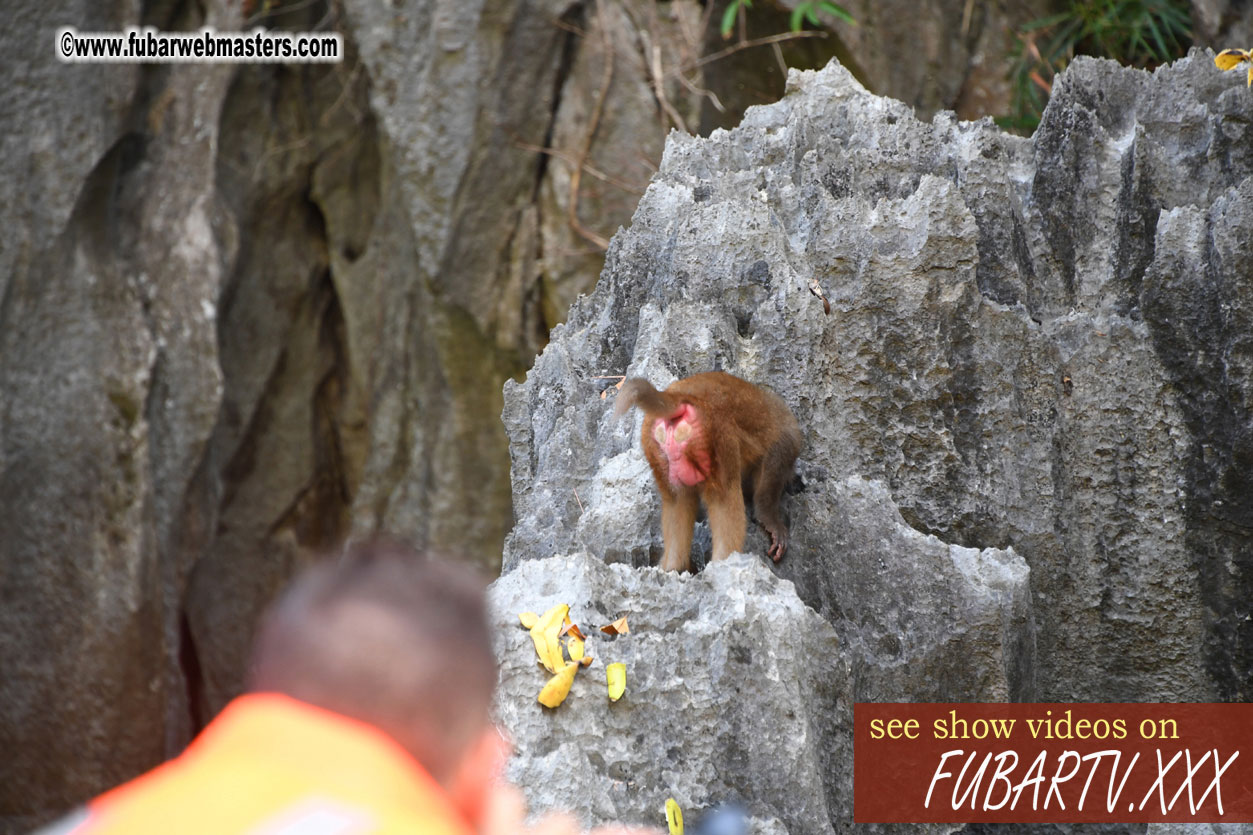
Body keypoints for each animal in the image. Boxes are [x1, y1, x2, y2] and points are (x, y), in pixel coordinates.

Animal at [616, 371, 801, 571]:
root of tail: (678, 396)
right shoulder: (785, 445)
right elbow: (765, 494)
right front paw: (771, 523)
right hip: (717, 436)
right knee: (725, 497)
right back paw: (725, 561)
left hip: (655, 446)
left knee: (677, 499)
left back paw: (673, 565)